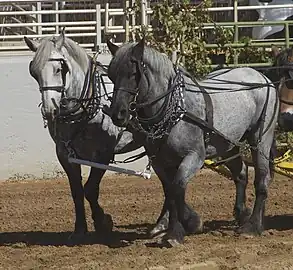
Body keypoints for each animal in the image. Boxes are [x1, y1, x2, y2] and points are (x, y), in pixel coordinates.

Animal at [23, 32, 139, 243]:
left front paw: (103, 222)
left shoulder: (103, 153)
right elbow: (77, 191)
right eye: (33, 72)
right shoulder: (65, 154)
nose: (49, 110)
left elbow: (90, 189)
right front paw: (79, 230)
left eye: (60, 68)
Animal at [105, 39, 278, 248]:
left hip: (261, 139)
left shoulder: (194, 156)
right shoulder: (160, 162)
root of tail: (262, 76)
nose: (117, 114)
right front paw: (172, 230)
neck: (176, 110)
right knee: (241, 173)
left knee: (262, 179)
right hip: (228, 145)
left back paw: (252, 227)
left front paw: (188, 224)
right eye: (111, 75)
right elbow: (170, 191)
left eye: (133, 73)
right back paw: (242, 214)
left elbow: (178, 186)